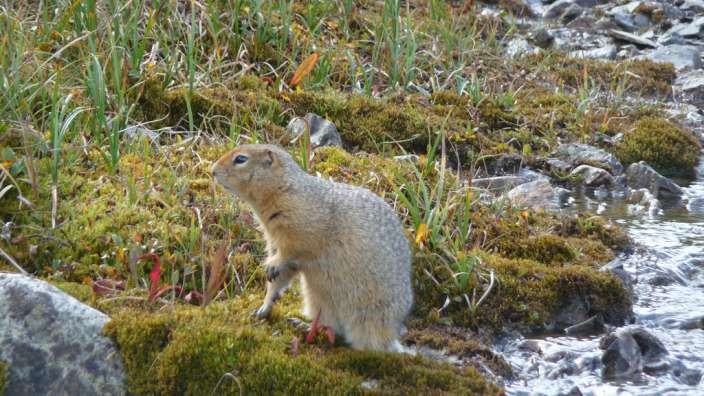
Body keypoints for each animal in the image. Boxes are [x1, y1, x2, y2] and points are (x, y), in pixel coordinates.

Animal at [212, 144, 416, 352]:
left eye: (240, 159)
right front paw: (263, 307)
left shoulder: (298, 229)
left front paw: (272, 266)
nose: (212, 171)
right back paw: (303, 325)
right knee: (332, 326)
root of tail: (391, 336)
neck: (283, 189)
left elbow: (293, 249)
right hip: (317, 300)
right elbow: (282, 274)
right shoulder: (274, 240)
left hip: (370, 316)